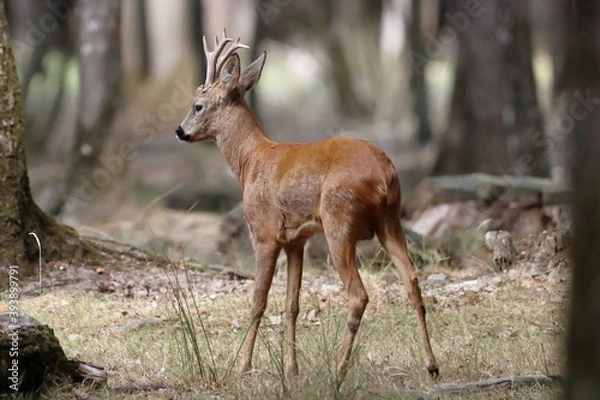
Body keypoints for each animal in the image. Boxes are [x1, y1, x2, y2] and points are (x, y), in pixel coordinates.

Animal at [176, 29, 438, 376]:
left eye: (198, 106)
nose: (180, 131)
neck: (251, 161)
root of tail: (384, 175)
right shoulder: (295, 240)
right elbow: (292, 305)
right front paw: (292, 368)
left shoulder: (264, 233)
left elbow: (258, 302)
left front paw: (243, 366)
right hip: (391, 220)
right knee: (413, 281)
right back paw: (431, 365)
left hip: (339, 221)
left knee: (358, 295)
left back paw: (338, 370)